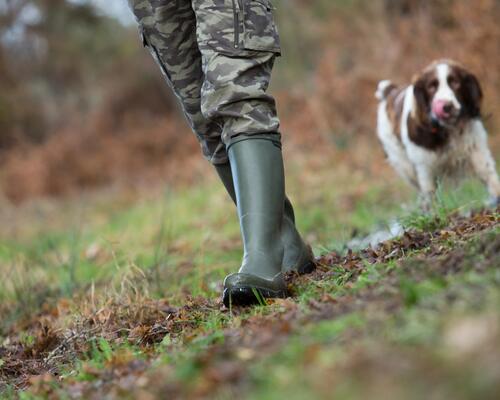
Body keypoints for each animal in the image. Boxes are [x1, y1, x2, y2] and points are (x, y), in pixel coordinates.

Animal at [376, 60, 498, 208]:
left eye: (455, 82)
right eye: (431, 87)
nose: (446, 106)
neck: (447, 129)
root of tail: (390, 91)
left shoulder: (477, 150)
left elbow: (489, 177)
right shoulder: (424, 166)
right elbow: (430, 192)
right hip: (404, 165)